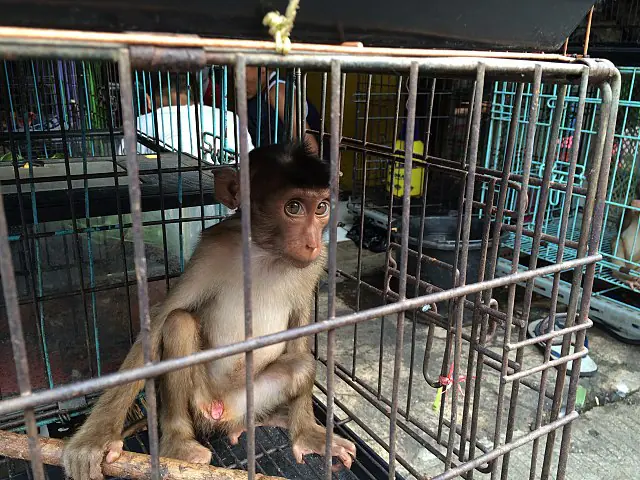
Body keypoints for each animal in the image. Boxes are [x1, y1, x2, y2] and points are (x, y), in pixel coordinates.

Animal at [62, 142, 356, 480]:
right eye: (293, 208)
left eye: (321, 208)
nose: (312, 243)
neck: (265, 254)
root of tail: (221, 411)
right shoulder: (212, 249)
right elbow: (161, 318)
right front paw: (93, 439)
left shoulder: (311, 269)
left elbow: (301, 332)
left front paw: (307, 434)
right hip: (198, 399)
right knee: (178, 324)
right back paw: (178, 443)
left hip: (247, 400)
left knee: (300, 365)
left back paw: (271, 419)